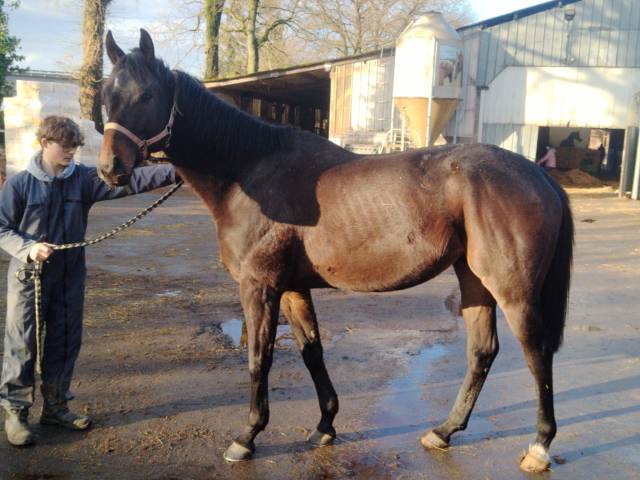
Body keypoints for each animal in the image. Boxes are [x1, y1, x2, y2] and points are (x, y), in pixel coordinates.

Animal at [98, 30, 573, 473]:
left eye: (146, 94)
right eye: (106, 95)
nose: (110, 169)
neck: (249, 172)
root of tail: (537, 175)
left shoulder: (260, 287)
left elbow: (258, 358)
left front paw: (247, 437)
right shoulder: (293, 289)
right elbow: (311, 351)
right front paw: (325, 425)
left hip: (512, 289)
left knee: (536, 353)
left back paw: (538, 446)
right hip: (473, 278)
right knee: (482, 352)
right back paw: (444, 431)